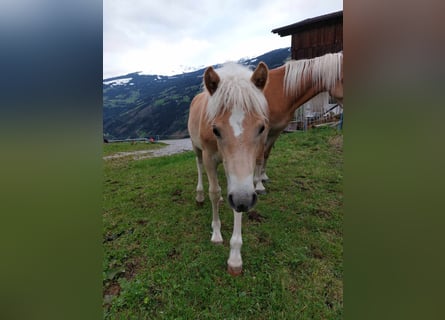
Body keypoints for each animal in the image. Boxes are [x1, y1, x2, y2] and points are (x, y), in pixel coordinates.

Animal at [186, 62, 268, 276]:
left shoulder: (241, 176)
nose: (244, 200)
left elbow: (236, 201)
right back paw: (199, 195)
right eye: (215, 129)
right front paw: (216, 233)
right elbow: (214, 192)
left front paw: (235, 257)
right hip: (196, 147)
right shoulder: (209, 157)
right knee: (199, 167)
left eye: (261, 128)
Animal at [253, 52, 344, 192]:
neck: (279, 91)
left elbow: (266, 154)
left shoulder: (275, 130)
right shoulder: (263, 131)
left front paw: (263, 177)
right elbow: (258, 156)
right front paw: (258, 185)